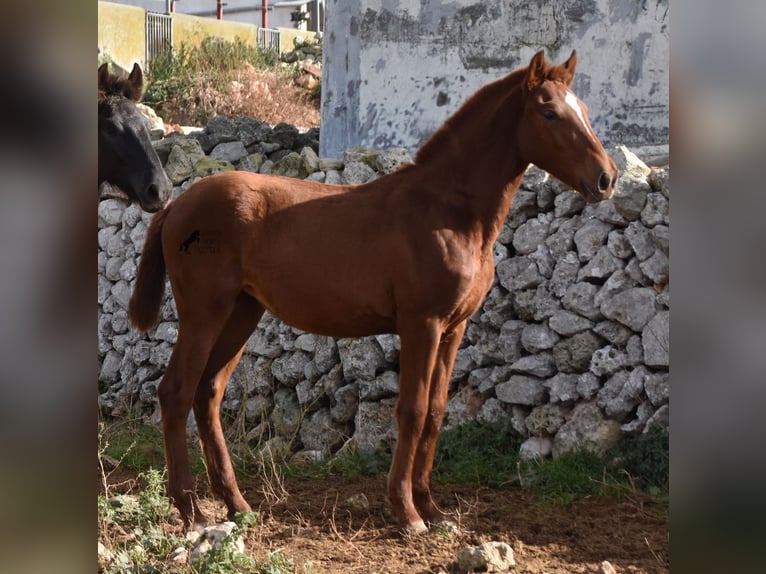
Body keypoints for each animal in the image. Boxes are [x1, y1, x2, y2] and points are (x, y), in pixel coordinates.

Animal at [126, 49, 616, 536]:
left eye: (584, 110)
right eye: (549, 113)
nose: (606, 179)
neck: (450, 213)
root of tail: (176, 204)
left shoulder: (453, 329)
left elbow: (436, 411)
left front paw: (433, 509)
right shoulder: (421, 324)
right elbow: (412, 411)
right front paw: (408, 512)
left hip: (242, 312)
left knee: (207, 393)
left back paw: (237, 505)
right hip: (204, 313)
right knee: (176, 391)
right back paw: (192, 512)